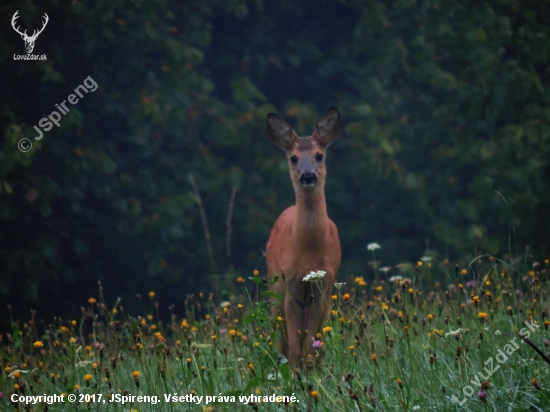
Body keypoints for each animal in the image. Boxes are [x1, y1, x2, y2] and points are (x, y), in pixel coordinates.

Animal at [266, 106, 340, 366]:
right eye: (293, 158)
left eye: (319, 155)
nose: (308, 176)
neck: (309, 252)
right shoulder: (291, 286)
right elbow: (295, 346)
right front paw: (296, 371)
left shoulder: (321, 288)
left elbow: (309, 344)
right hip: (274, 286)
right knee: (280, 339)